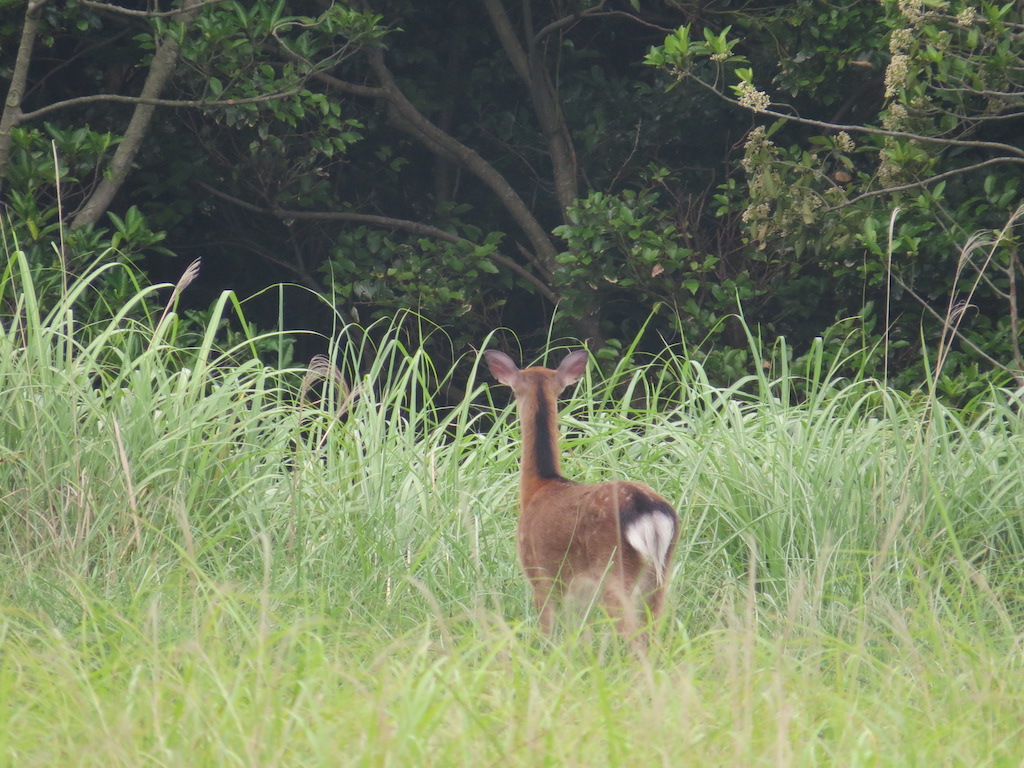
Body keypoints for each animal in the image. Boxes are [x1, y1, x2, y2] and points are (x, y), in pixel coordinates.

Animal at [481, 346, 675, 651]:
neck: (538, 487)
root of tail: (649, 511)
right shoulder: (578, 592)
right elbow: (579, 635)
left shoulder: (538, 571)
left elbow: (547, 630)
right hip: (661, 572)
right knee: (652, 631)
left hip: (613, 569)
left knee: (633, 636)